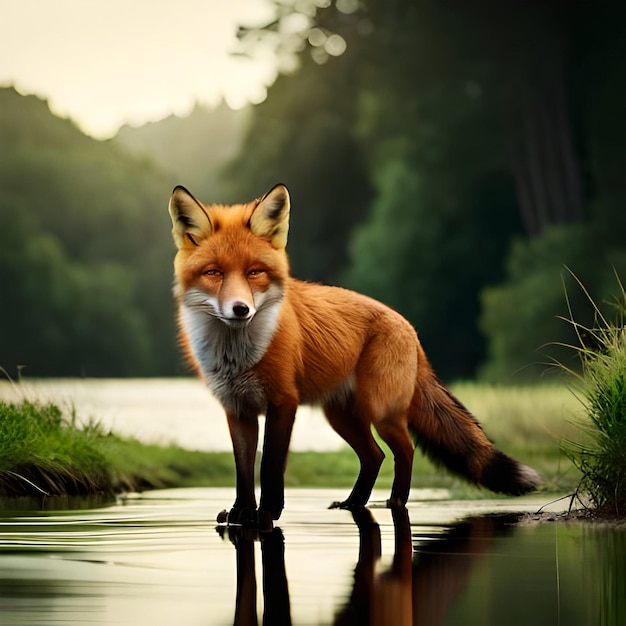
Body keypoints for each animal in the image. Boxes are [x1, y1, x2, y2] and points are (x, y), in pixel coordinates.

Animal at [168, 183, 540, 524]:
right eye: (214, 273)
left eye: (254, 272)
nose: (240, 309)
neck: (237, 356)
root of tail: (409, 326)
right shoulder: (237, 409)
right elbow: (244, 470)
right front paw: (242, 513)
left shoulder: (283, 402)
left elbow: (270, 465)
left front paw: (268, 513)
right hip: (342, 416)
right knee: (374, 456)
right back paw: (353, 503)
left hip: (380, 410)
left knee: (404, 449)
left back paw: (396, 503)